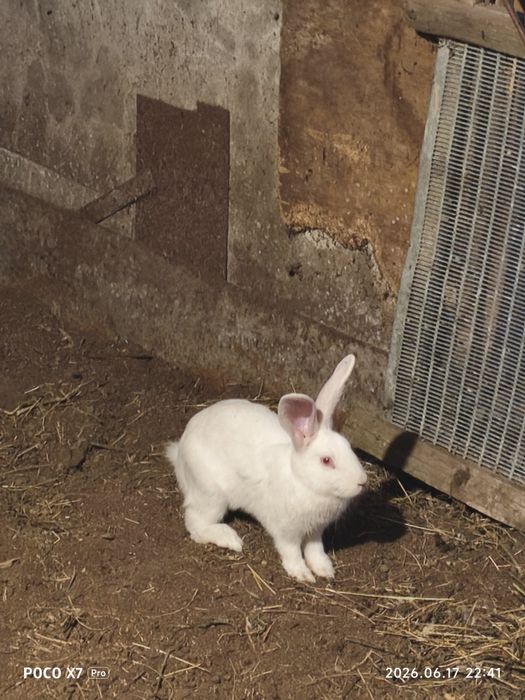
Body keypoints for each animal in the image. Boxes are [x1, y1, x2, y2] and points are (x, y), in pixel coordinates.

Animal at [165, 354, 367, 582]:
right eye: (326, 460)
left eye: (349, 447)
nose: (362, 481)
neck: (302, 481)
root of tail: (180, 453)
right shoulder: (286, 532)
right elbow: (292, 552)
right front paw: (302, 574)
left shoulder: (315, 532)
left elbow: (315, 550)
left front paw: (325, 569)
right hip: (210, 495)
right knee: (195, 524)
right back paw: (230, 538)